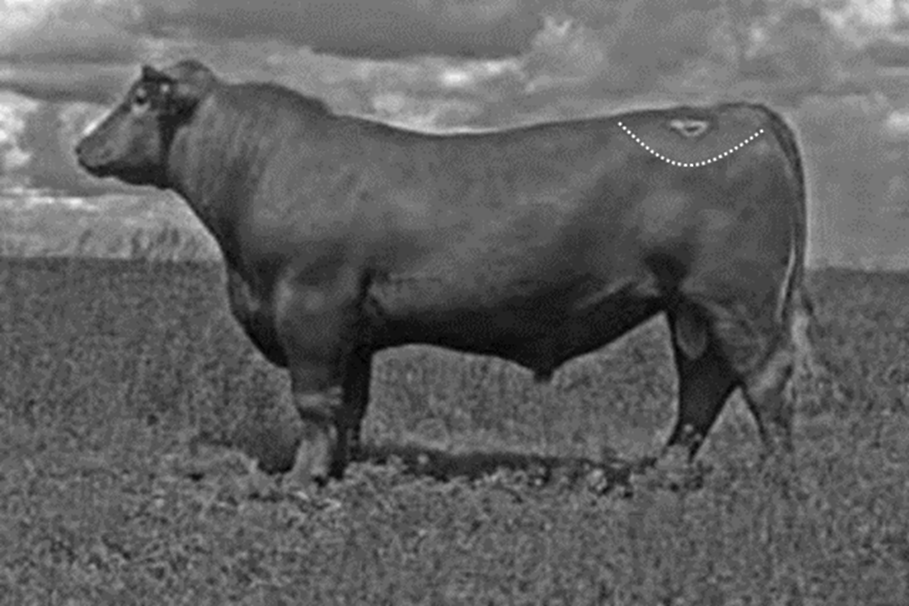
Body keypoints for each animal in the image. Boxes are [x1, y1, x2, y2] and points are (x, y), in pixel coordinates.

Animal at [74, 60, 813, 491]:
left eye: (140, 98)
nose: (82, 147)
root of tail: (733, 110)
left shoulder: (310, 305)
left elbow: (313, 400)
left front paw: (299, 481)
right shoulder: (353, 328)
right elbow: (348, 404)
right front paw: (337, 469)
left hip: (735, 298)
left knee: (764, 378)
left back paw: (775, 477)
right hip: (689, 305)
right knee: (703, 385)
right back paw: (664, 471)